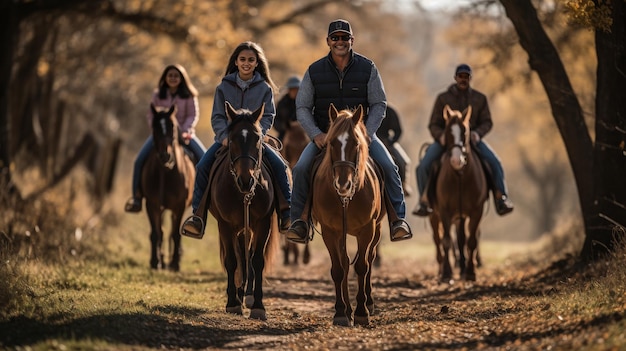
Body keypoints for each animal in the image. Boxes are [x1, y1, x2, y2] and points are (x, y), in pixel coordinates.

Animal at [142, 104, 195, 272]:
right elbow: (156, 233)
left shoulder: (180, 206)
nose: (165, 156)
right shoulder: (152, 204)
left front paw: (175, 263)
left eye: (172, 126)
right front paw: (155, 262)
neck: (166, 172)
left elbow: (176, 234)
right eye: (155, 127)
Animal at [208, 102, 280, 322]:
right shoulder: (225, 225)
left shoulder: (263, 223)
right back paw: (239, 295)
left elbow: (256, 260)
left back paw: (246, 295)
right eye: (232, 139)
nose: (246, 180)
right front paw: (232, 303)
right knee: (240, 256)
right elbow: (232, 260)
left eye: (257, 139)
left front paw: (258, 306)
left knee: (247, 257)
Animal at [310, 104, 382, 328]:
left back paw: (369, 303)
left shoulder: (368, 229)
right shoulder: (330, 231)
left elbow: (362, 266)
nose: (343, 185)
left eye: (356, 143)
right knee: (344, 262)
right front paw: (341, 312)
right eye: (332, 142)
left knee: (370, 259)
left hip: (377, 229)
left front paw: (361, 312)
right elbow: (339, 269)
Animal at [428, 105, 488, 284]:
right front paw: (447, 273)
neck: (460, 176)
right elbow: (447, 241)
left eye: (465, 131)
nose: (456, 160)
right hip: (434, 216)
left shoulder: (476, 211)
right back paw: (441, 269)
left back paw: (462, 268)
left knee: (461, 239)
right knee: (438, 239)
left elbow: (471, 240)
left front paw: (470, 272)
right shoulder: (445, 212)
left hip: (460, 217)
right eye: (448, 131)